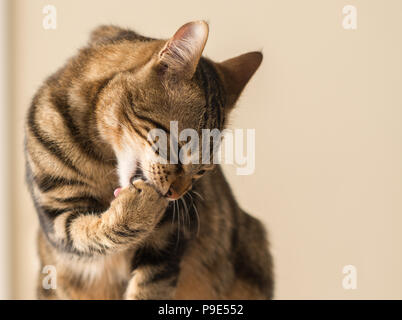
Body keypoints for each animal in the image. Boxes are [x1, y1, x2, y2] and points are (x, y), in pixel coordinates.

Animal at [25, 20, 274, 300]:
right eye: (179, 146)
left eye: (203, 171)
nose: (175, 195)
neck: (103, 158)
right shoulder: (56, 216)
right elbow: (86, 234)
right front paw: (137, 210)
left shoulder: (170, 237)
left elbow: (150, 285)